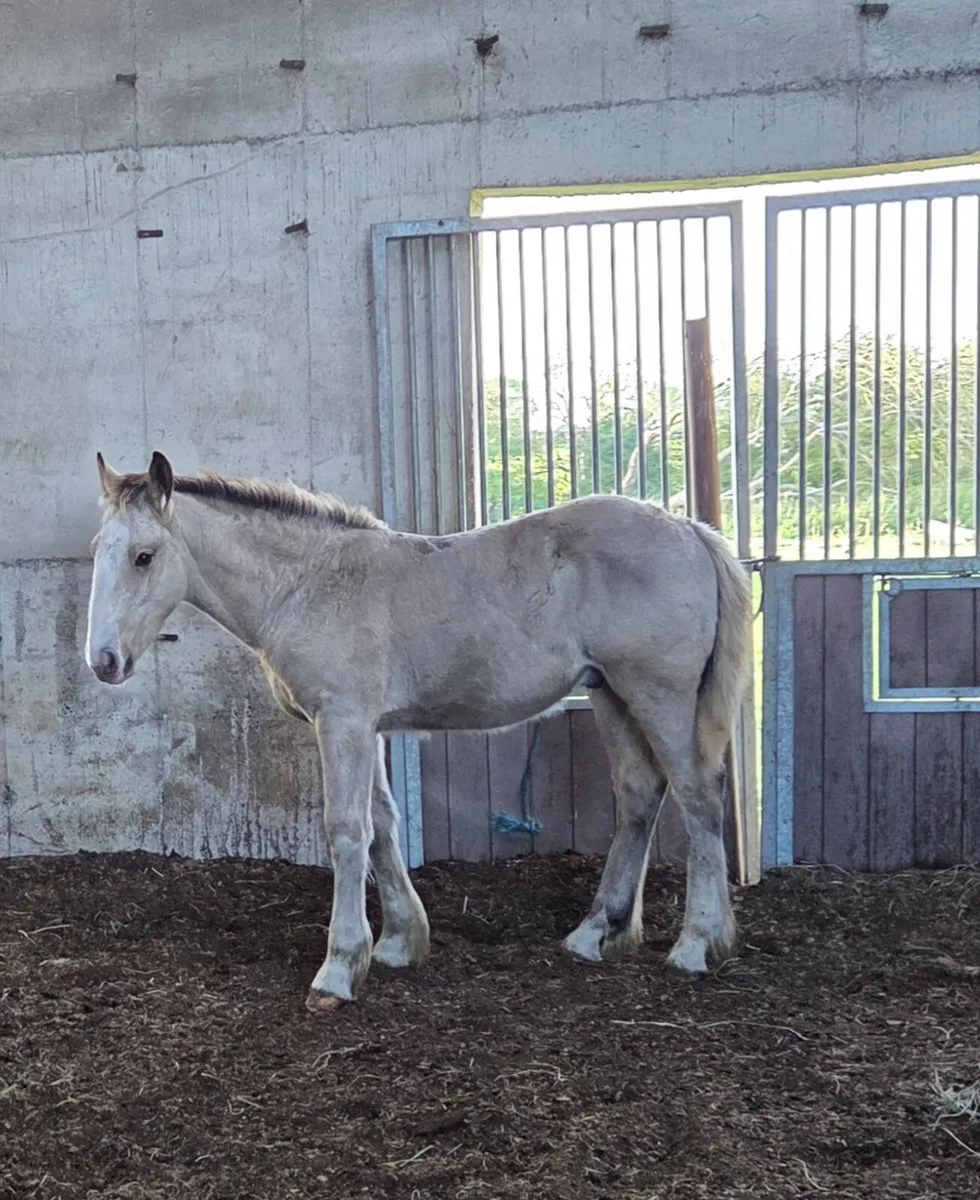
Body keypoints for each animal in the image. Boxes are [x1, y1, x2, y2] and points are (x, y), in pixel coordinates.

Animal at [85, 451, 752, 1016]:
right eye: (97, 549)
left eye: (144, 555)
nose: (103, 660)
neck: (308, 584)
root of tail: (689, 530)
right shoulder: (370, 728)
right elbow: (383, 823)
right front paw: (399, 943)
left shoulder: (344, 723)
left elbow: (347, 831)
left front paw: (338, 969)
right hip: (610, 693)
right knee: (640, 795)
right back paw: (595, 933)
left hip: (658, 695)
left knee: (699, 799)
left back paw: (696, 945)